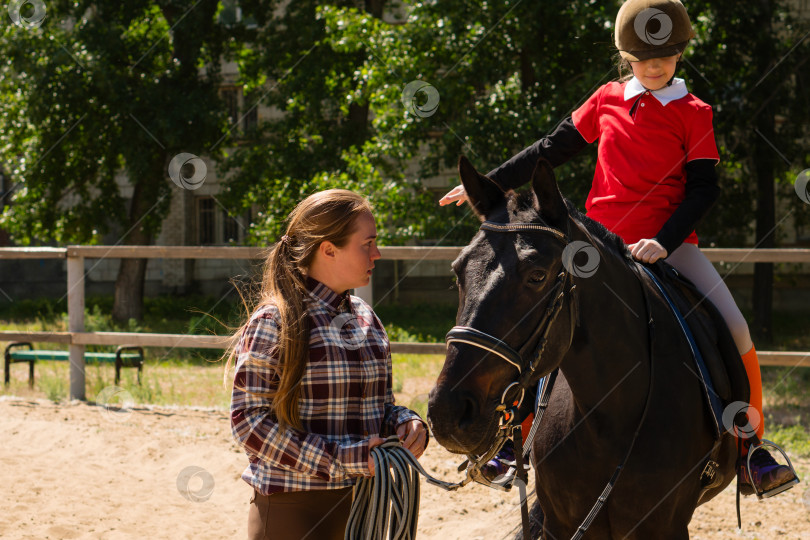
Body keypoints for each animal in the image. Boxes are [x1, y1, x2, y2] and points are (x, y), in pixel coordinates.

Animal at [430, 157, 740, 540]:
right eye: (458, 270)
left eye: (537, 276)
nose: (448, 412)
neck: (610, 415)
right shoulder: (560, 523)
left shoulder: (665, 526)